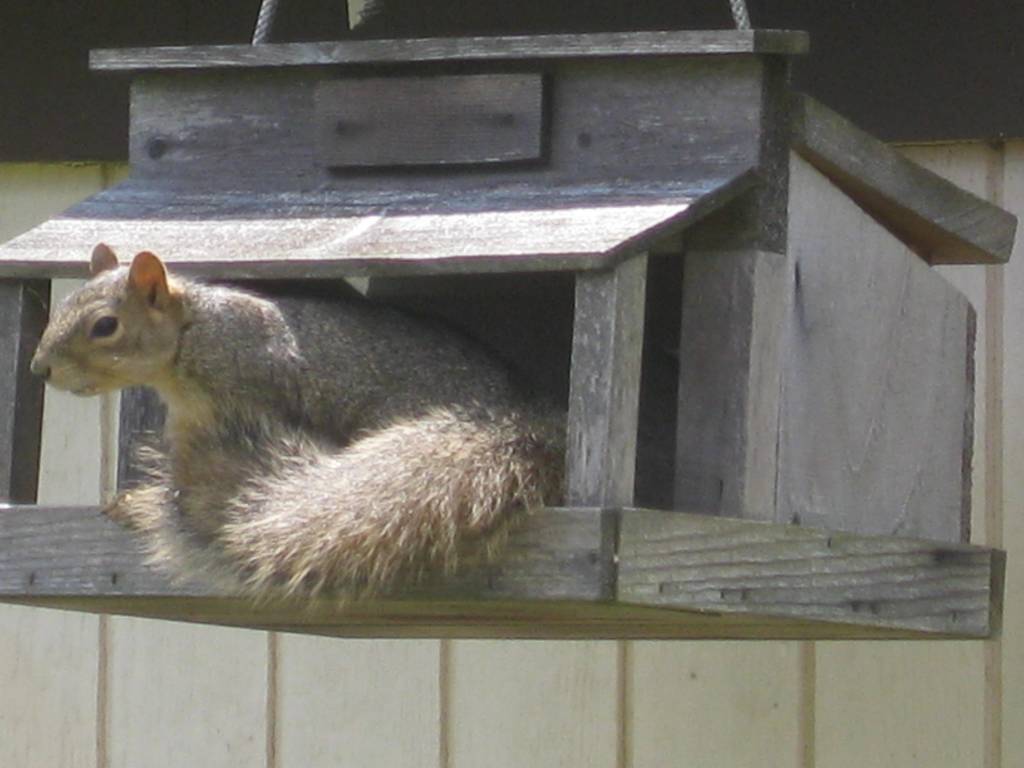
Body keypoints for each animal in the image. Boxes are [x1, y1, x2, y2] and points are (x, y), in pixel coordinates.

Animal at [30, 245, 565, 599]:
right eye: (61, 307)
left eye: (105, 326)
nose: (40, 369)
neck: (190, 346)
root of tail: (525, 418)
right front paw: (135, 499)